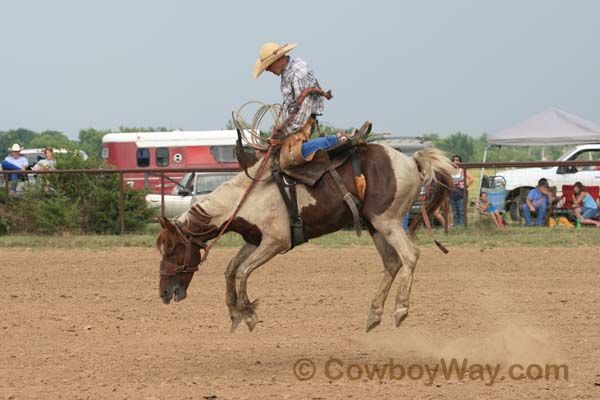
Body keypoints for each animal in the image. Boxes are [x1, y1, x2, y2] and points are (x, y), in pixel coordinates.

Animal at [157, 142, 452, 332]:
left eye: (171, 250)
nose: (164, 293)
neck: (245, 200)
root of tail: (411, 160)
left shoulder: (276, 242)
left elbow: (241, 272)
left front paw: (249, 314)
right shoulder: (254, 240)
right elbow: (231, 269)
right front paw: (234, 313)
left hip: (387, 221)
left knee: (410, 255)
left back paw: (400, 310)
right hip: (375, 226)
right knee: (392, 263)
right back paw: (374, 315)